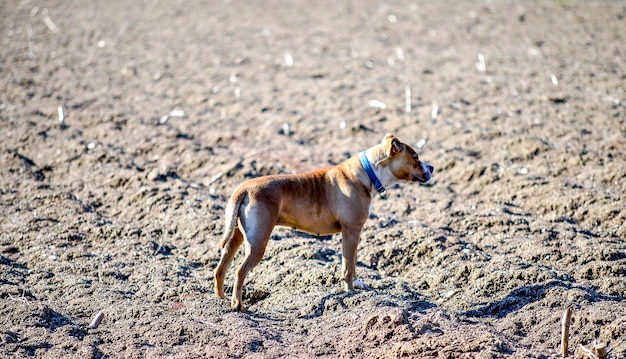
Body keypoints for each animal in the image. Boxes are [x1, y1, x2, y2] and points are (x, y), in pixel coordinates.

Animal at [212, 134, 432, 310]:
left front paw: (356, 285)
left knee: (221, 268)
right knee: (240, 272)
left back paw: (220, 299)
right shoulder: (351, 232)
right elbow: (348, 265)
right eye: (415, 158)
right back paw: (238, 306)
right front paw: (351, 292)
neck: (369, 172)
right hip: (258, 242)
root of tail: (244, 189)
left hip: (236, 237)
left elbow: (351, 262)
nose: (432, 167)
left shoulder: (352, 234)